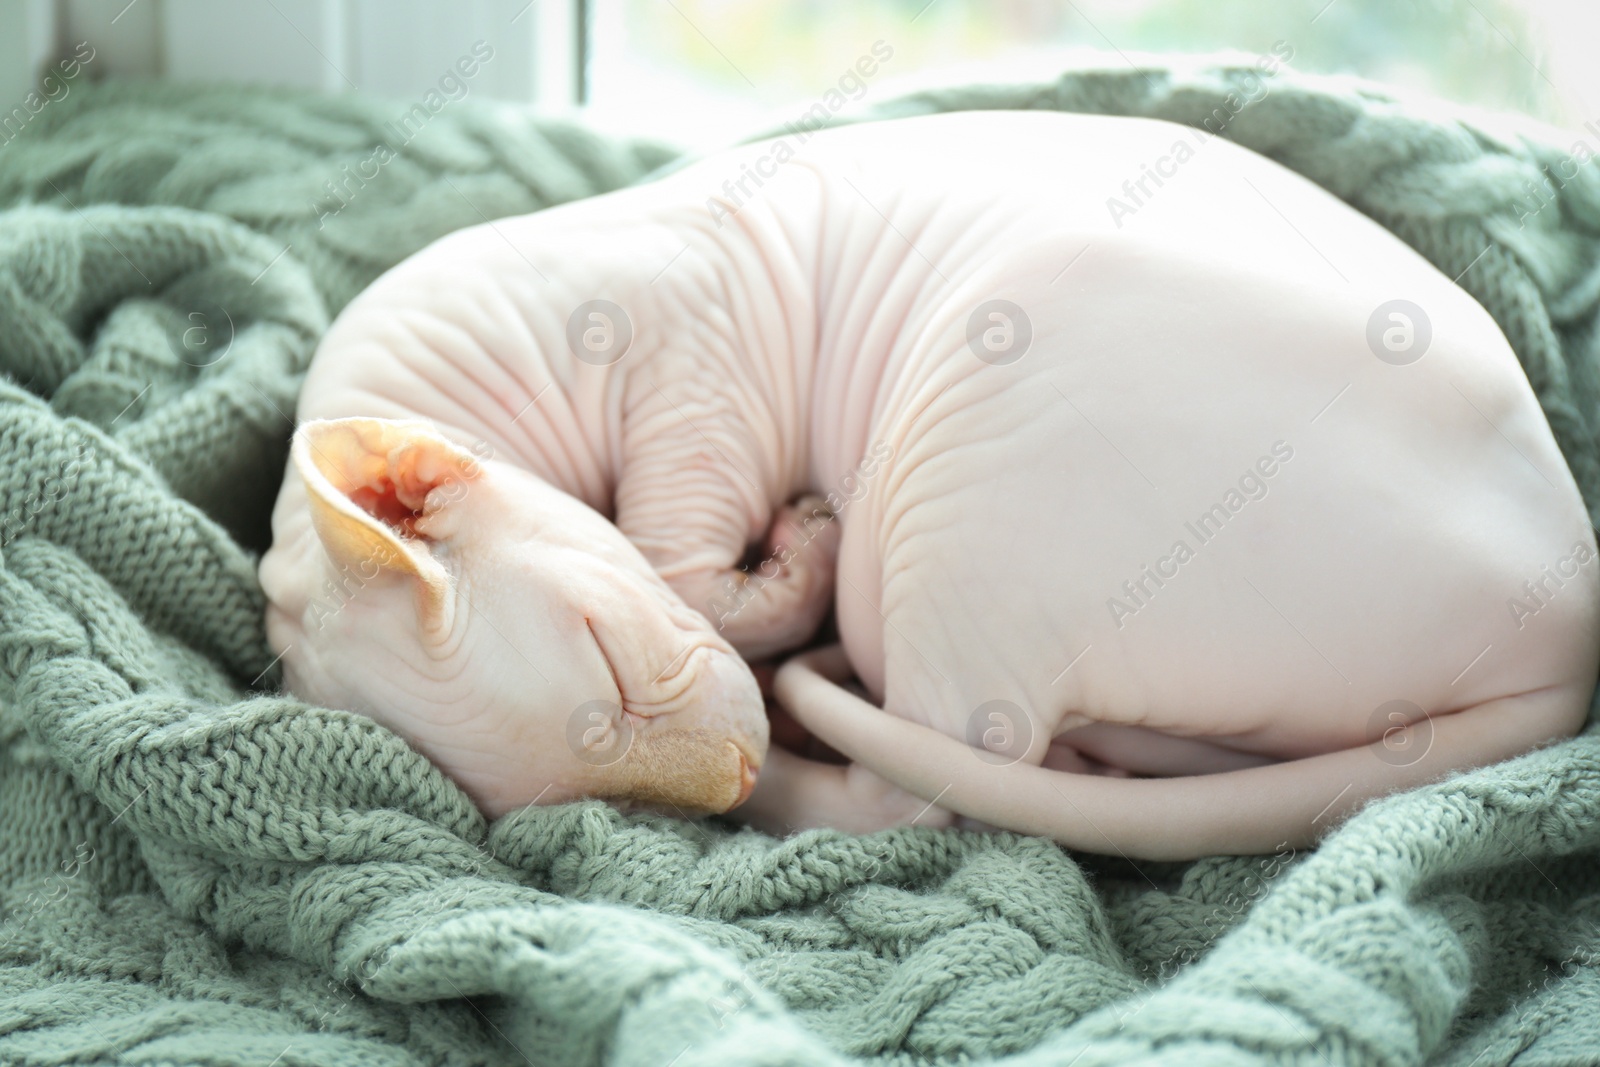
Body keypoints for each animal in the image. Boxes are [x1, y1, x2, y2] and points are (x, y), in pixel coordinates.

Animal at [262, 110, 1600, 857]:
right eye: (589, 790)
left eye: (604, 652)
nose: (733, 779)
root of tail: (1562, 631)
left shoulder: (697, 361)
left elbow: (697, 565)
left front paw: (784, 554)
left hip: (967, 436)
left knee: (930, 787)